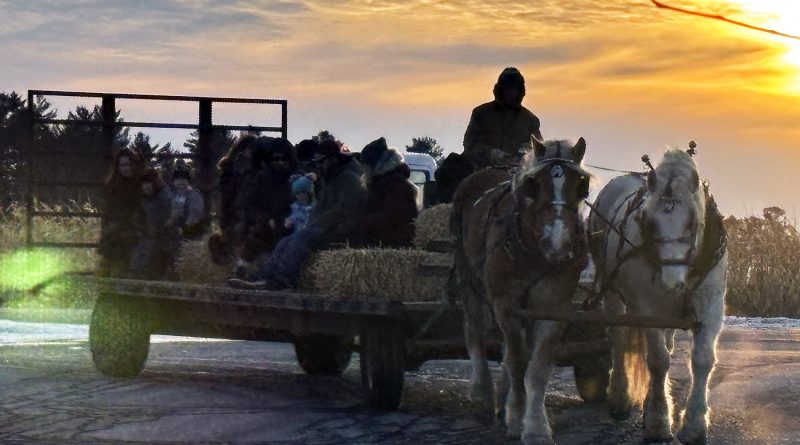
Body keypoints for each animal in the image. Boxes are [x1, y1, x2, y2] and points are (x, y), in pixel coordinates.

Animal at [454, 137, 592, 442]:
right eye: (534, 184)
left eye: (581, 184)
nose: (557, 241)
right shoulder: (506, 306)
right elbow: (517, 362)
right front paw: (517, 417)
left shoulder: (553, 306)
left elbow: (536, 366)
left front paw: (536, 426)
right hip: (469, 282)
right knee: (474, 332)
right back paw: (483, 394)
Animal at [584, 150, 728, 444]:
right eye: (650, 222)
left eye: (693, 223)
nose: (672, 281)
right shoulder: (648, 308)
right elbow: (658, 361)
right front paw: (658, 422)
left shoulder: (711, 303)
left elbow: (703, 360)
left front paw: (695, 425)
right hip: (613, 292)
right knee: (619, 340)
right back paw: (620, 397)